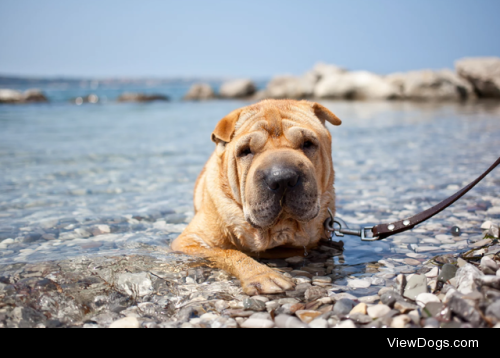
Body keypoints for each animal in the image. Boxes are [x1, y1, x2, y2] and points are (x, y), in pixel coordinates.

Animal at [171, 99, 340, 296]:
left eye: (307, 143)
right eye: (245, 151)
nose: (282, 178)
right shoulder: (188, 241)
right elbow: (229, 253)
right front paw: (262, 276)